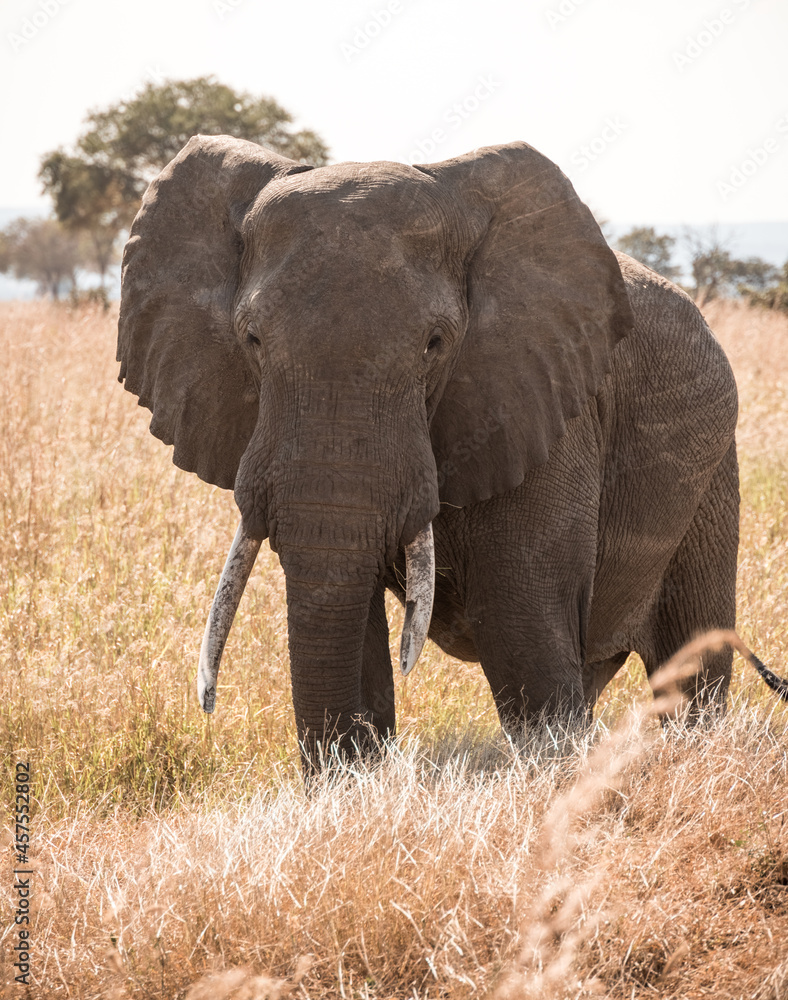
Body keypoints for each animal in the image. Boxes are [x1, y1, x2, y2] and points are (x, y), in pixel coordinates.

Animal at [117, 136, 788, 773]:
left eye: (435, 344)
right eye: (251, 340)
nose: (206, 702)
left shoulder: (543, 399)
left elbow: (523, 627)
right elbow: (351, 616)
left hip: (712, 462)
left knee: (689, 656)